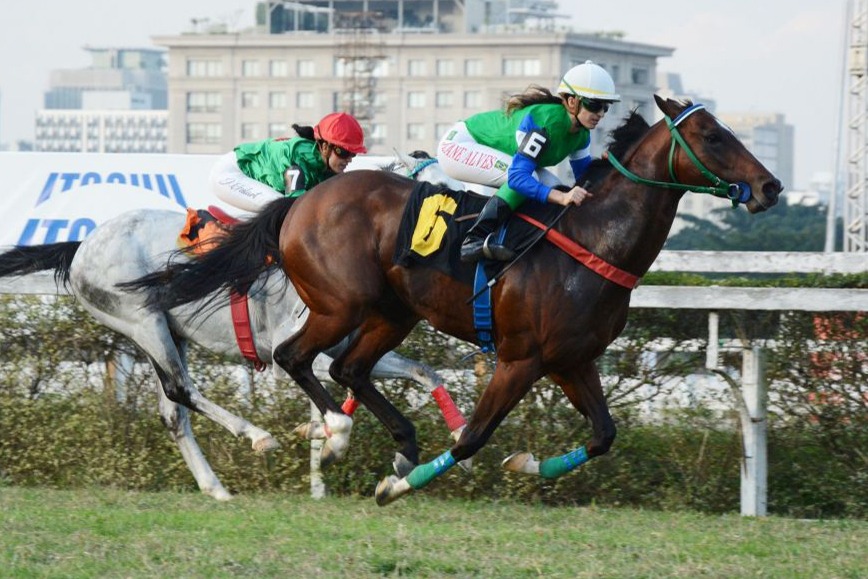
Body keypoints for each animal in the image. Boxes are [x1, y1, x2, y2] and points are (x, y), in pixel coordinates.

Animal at [0, 152, 468, 500]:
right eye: (441, 190)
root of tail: (83, 245)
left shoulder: (344, 345)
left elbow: (422, 371)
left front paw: (458, 430)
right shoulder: (294, 350)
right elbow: (325, 384)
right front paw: (327, 438)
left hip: (169, 333)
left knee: (172, 412)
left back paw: (216, 488)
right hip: (142, 320)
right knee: (181, 390)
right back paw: (256, 436)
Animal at [122, 96, 783, 505]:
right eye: (712, 135)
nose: (771, 186)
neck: (593, 240)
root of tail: (301, 200)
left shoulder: (571, 359)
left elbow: (603, 434)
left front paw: (526, 466)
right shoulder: (521, 359)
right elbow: (472, 439)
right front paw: (398, 488)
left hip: (393, 312)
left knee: (348, 368)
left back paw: (399, 443)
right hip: (341, 305)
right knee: (296, 357)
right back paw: (337, 433)